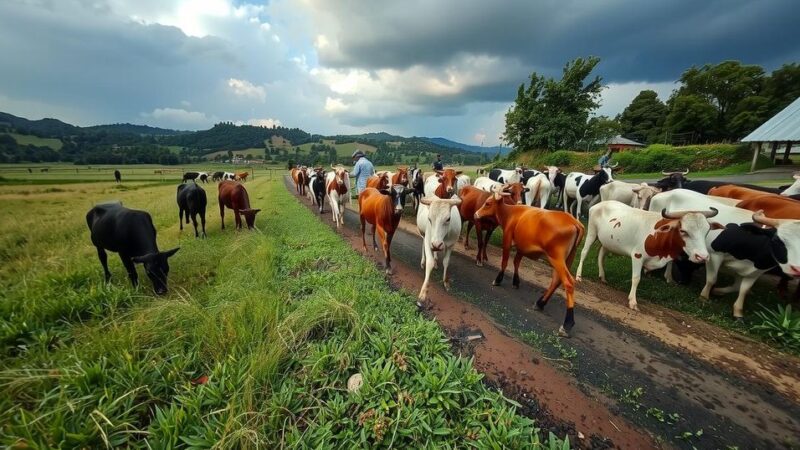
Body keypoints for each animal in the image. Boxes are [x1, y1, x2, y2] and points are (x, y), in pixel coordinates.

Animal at [472, 192, 584, 336]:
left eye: (488, 203)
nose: (476, 214)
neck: (511, 213)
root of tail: (574, 222)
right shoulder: (521, 248)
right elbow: (516, 262)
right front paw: (516, 281)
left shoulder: (507, 240)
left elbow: (504, 262)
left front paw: (498, 279)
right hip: (568, 258)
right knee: (556, 281)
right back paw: (540, 303)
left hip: (556, 258)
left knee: (568, 283)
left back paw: (567, 324)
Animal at [576, 202, 720, 312]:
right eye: (683, 231)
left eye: (707, 231)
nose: (702, 256)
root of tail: (600, 203)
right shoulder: (637, 255)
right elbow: (636, 278)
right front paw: (632, 301)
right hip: (592, 233)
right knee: (584, 252)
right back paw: (578, 276)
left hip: (608, 242)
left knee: (601, 254)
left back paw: (602, 276)